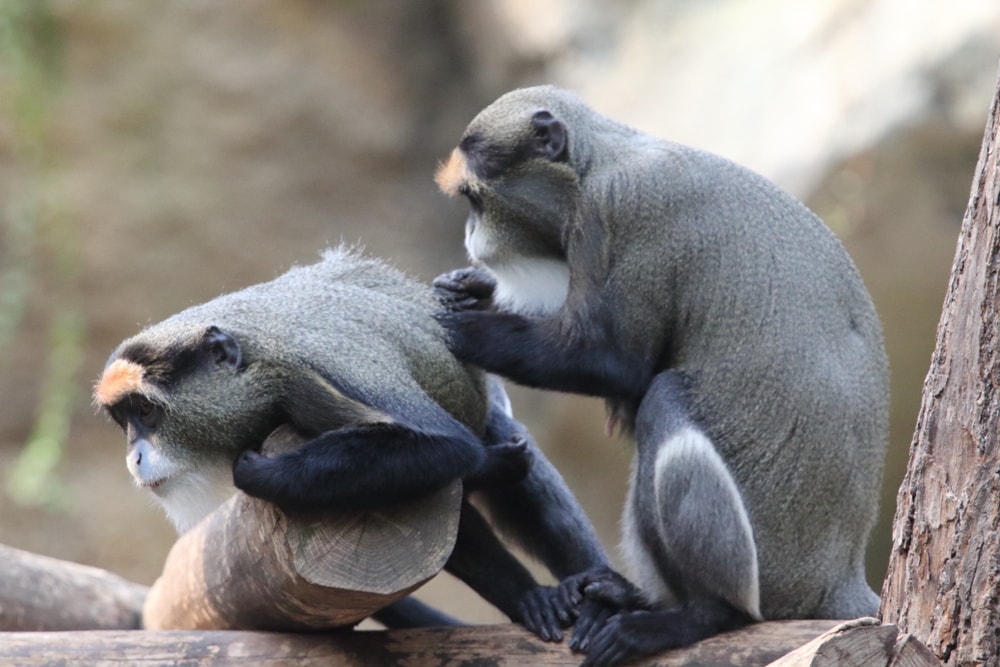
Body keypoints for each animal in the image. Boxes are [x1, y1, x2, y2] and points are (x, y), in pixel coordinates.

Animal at [93, 246, 609, 640]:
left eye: (146, 412)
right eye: (125, 419)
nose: (134, 458)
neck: (257, 360)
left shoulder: (318, 373)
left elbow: (444, 446)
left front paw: (257, 472)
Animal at [432, 85, 889, 666]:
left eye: (475, 200)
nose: (472, 235)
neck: (595, 161)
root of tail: (838, 577)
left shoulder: (616, 213)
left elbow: (616, 363)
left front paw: (466, 327)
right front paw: (468, 290)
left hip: (770, 577)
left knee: (664, 398)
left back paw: (698, 615)